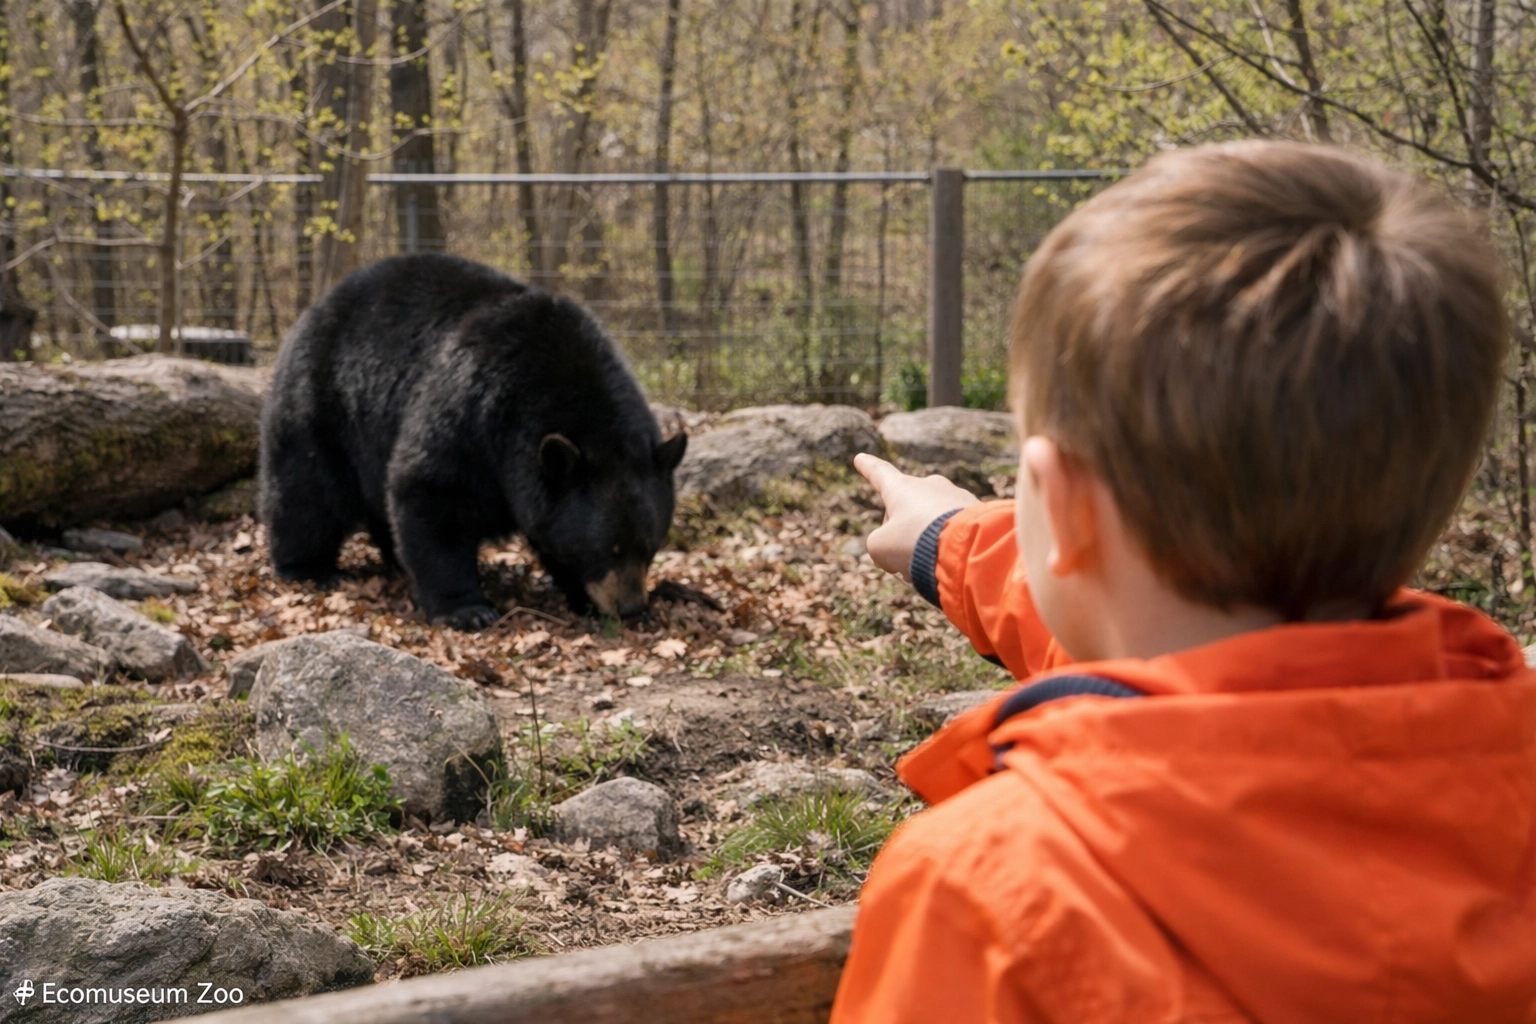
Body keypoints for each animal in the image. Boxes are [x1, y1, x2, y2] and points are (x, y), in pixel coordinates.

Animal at [258, 253, 687, 630]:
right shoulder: (472, 412)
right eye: (608, 549)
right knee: (309, 490)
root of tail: (315, 308)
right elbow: (432, 492)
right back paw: (310, 568)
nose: (631, 607)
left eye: (650, 547)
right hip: (323, 403)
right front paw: (467, 610)